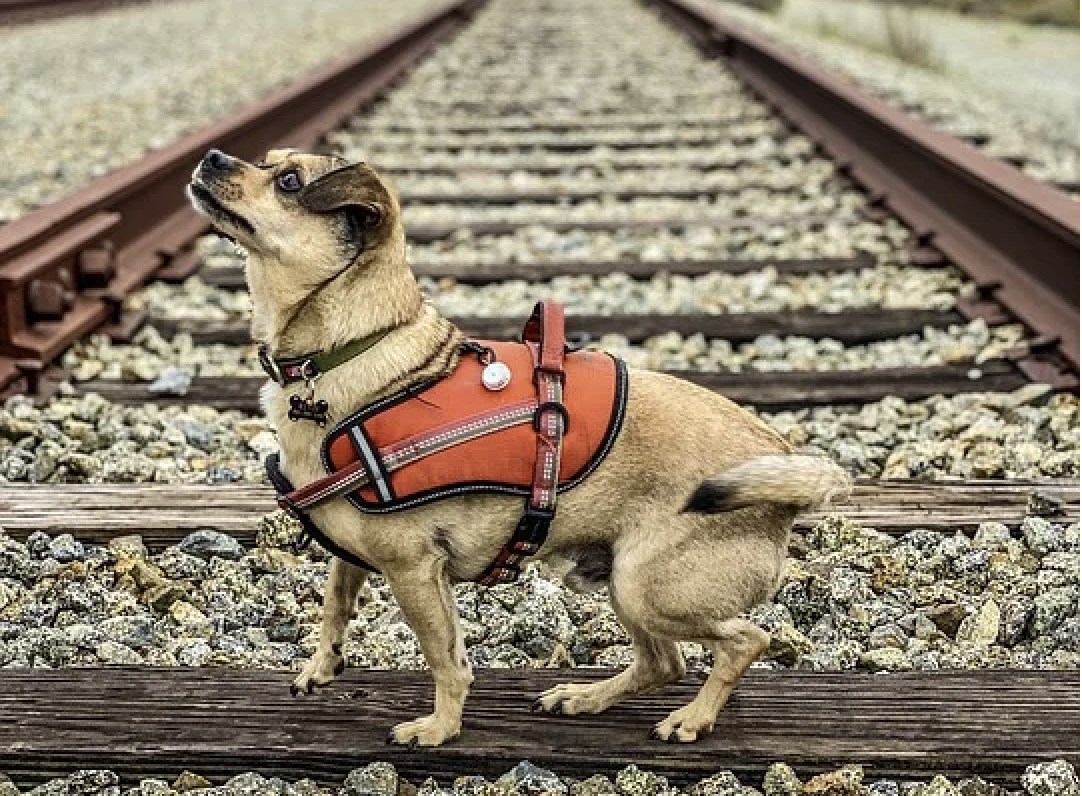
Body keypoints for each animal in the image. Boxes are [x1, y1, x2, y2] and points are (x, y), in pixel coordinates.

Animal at [188, 148, 852, 744]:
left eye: (289, 181)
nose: (213, 155)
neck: (345, 352)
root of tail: (783, 469)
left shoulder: (414, 571)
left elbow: (445, 657)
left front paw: (441, 727)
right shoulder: (352, 555)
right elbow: (333, 603)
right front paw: (321, 666)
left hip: (648, 586)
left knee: (745, 641)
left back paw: (692, 718)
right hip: (620, 583)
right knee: (664, 662)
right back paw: (584, 697)